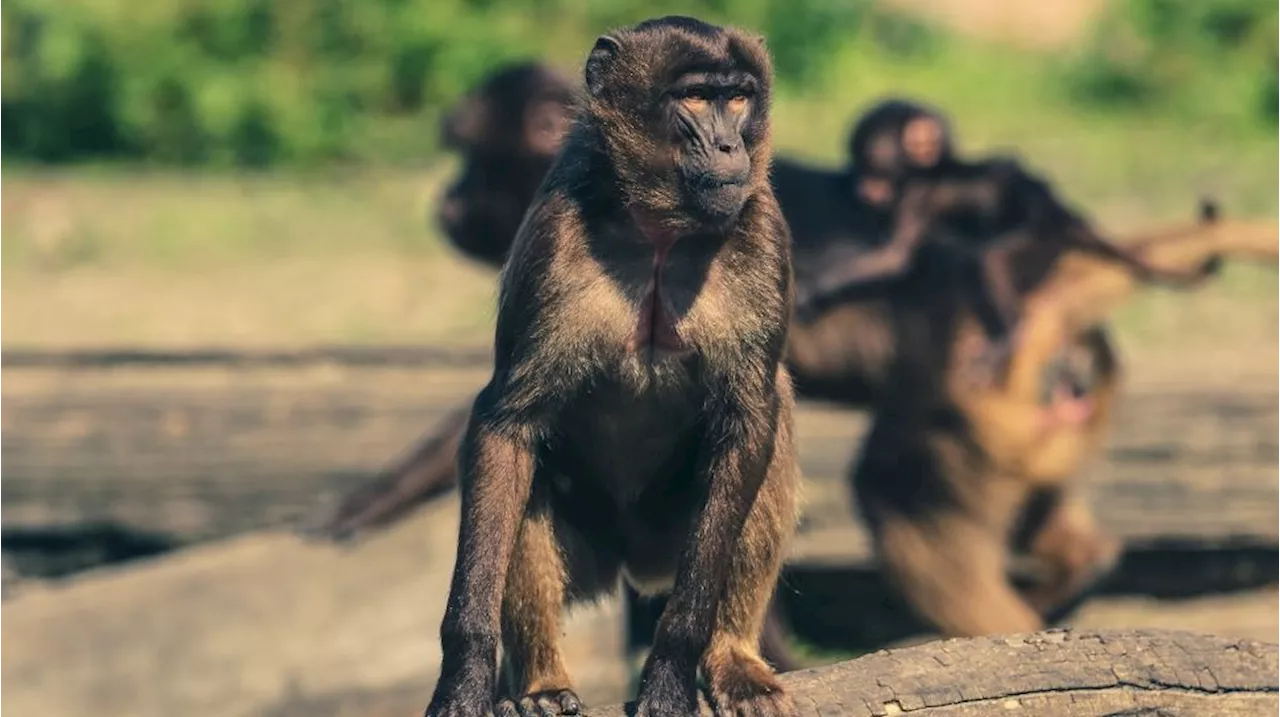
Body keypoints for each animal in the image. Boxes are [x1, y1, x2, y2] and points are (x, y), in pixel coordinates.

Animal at [427, 15, 798, 717]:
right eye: (696, 97)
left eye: (738, 97)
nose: (730, 147)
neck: (659, 233)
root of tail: (631, 562)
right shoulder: (553, 236)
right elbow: (505, 427)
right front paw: (464, 678)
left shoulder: (762, 228)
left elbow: (749, 418)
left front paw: (673, 671)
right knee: (525, 474)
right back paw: (542, 681)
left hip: (669, 539)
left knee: (773, 424)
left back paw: (733, 657)